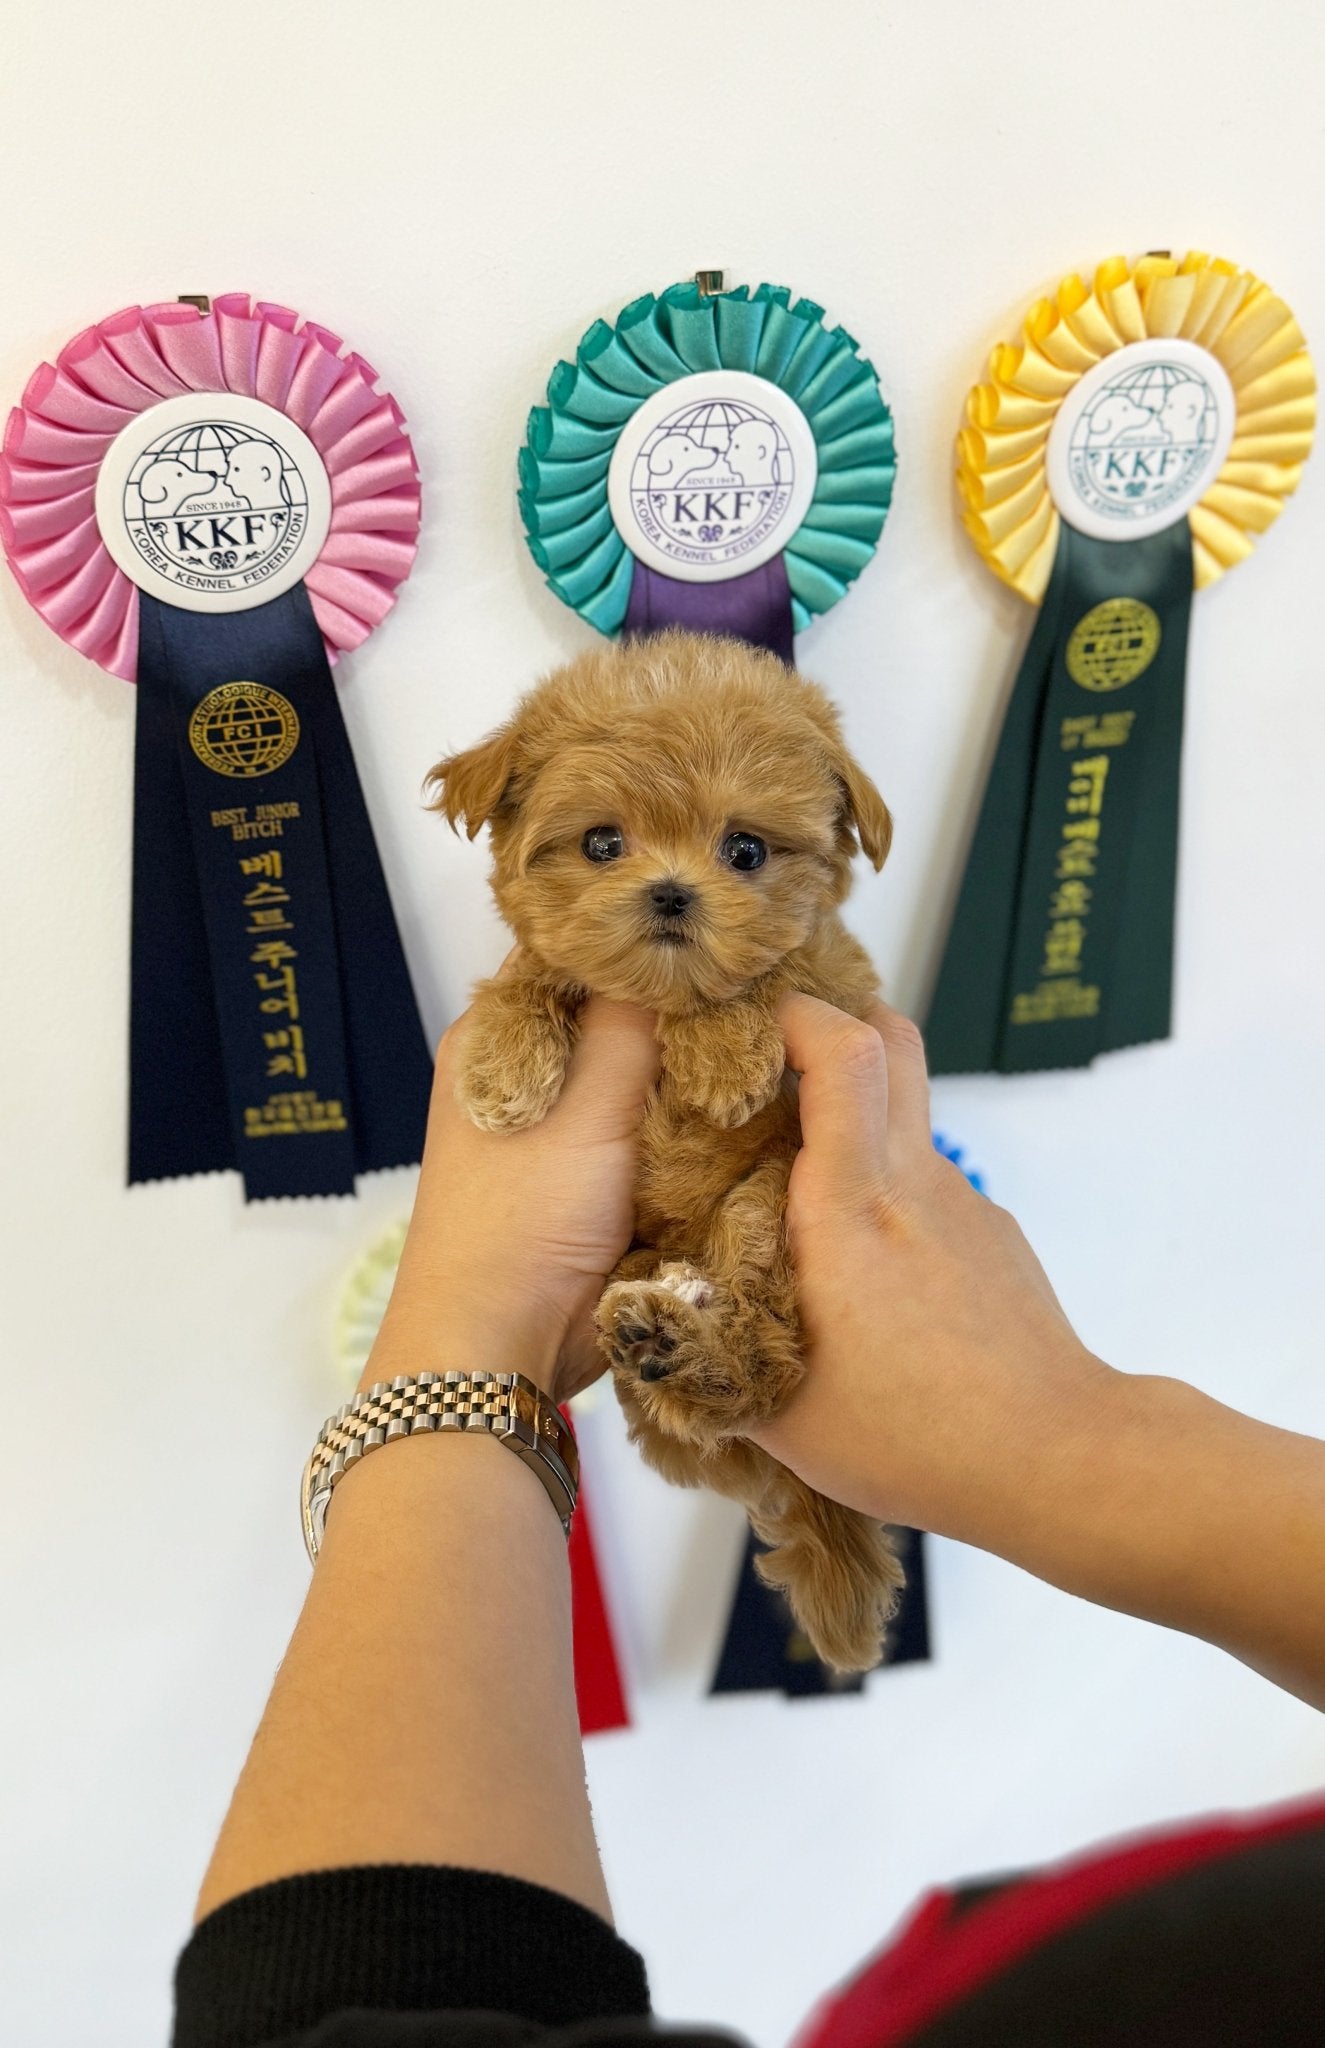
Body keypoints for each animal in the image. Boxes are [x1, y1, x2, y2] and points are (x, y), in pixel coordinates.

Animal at [430, 630, 905, 1671]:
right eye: (602, 843)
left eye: (746, 850)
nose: (673, 893)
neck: (654, 1001)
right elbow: (534, 973)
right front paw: (502, 1065)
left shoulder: (832, 991)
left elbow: (765, 974)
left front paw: (722, 1051)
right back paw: (659, 1328)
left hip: (770, 1202)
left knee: (770, 1359)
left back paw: (691, 1346)